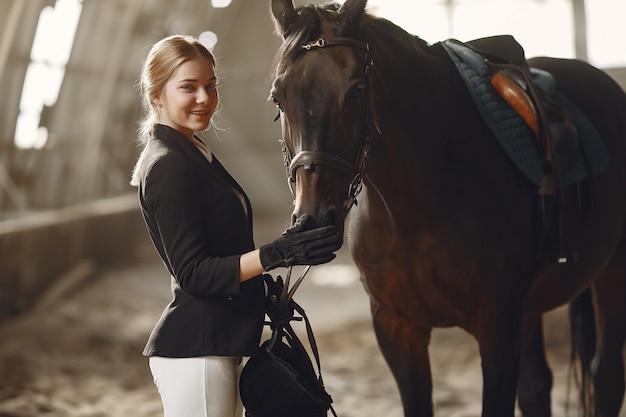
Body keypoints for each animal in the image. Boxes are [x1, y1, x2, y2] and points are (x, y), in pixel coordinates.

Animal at [266, 0, 624, 416]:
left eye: (356, 89)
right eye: (278, 97)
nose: (313, 220)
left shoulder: (498, 328)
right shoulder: (397, 328)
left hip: (611, 273)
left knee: (606, 376)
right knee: (537, 387)